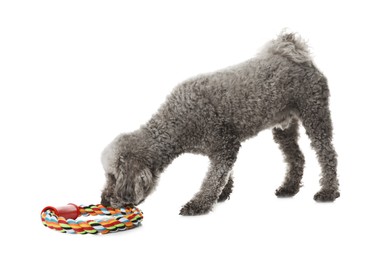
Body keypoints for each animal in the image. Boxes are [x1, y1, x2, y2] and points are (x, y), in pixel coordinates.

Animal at [100, 32, 338, 215]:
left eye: (113, 177)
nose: (103, 201)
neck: (177, 122)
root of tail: (295, 54)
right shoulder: (223, 147)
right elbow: (224, 174)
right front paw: (223, 193)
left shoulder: (225, 145)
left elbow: (212, 178)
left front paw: (199, 204)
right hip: (284, 127)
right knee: (296, 157)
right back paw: (290, 188)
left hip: (314, 115)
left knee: (327, 155)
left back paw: (328, 192)